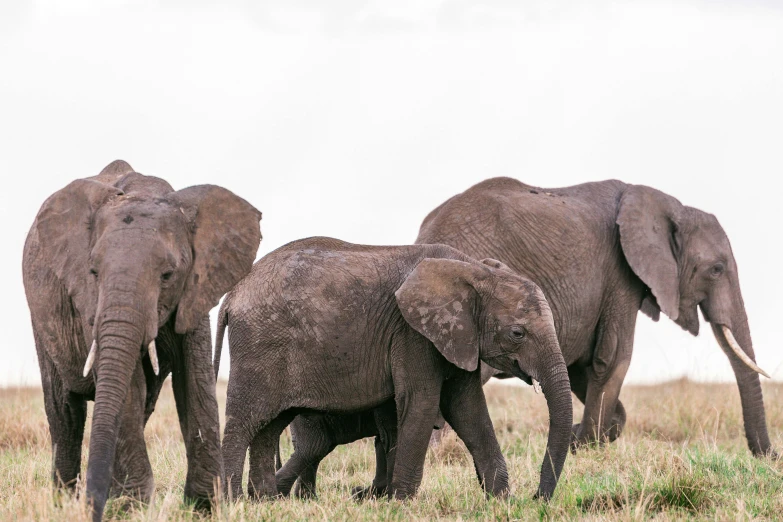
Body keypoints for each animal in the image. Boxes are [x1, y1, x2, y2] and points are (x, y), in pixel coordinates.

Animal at [22, 160, 264, 516]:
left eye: (167, 275)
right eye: (93, 272)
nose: (92, 507)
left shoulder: (196, 287)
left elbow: (196, 378)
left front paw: (204, 507)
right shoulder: (88, 301)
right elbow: (127, 388)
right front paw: (133, 507)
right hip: (41, 316)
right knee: (65, 410)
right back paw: (63, 502)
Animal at [217, 236, 572, 500]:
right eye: (517, 333)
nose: (536, 498)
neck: (472, 269)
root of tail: (232, 294)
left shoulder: (458, 335)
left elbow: (467, 409)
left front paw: (500, 501)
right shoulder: (411, 333)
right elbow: (422, 402)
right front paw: (401, 503)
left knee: (269, 426)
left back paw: (265, 501)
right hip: (258, 346)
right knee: (246, 422)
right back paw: (234, 502)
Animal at [420, 177, 776, 452]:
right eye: (716, 269)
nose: (769, 456)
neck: (666, 206)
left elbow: (581, 366)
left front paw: (580, 437)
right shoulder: (621, 274)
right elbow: (612, 358)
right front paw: (584, 444)